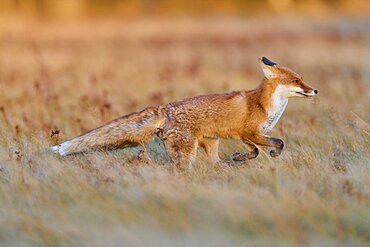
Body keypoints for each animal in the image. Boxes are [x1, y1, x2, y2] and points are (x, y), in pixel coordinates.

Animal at [51, 56, 318, 166]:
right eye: (297, 81)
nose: (315, 90)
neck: (264, 105)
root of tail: (165, 107)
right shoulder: (251, 133)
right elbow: (279, 142)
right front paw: (272, 154)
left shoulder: (245, 136)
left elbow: (253, 151)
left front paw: (240, 158)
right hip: (188, 152)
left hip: (211, 143)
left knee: (214, 164)